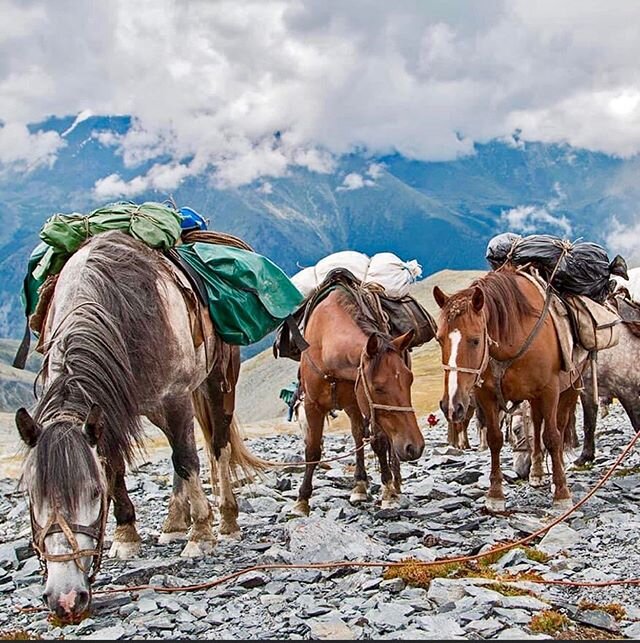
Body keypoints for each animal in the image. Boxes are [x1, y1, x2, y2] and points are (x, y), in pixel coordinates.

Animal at [16, 230, 264, 620]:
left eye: (93, 494)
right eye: (31, 495)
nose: (66, 600)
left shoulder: (176, 397)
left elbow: (187, 460)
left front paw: (201, 536)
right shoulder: (110, 413)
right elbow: (116, 468)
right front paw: (126, 537)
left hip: (216, 383)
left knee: (216, 446)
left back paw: (225, 520)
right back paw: (174, 523)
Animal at [292, 290, 424, 516]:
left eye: (410, 380)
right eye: (378, 387)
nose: (415, 447)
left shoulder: (364, 405)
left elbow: (378, 443)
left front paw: (388, 492)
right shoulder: (313, 405)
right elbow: (312, 449)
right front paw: (302, 501)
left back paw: (393, 483)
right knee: (357, 436)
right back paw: (360, 486)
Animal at [432, 268, 584, 512]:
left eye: (475, 340)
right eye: (439, 339)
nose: (451, 406)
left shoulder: (549, 390)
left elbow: (552, 437)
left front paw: (561, 493)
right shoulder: (486, 395)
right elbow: (495, 439)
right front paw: (495, 495)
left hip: (571, 387)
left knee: (558, 428)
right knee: (537, 423)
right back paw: (537, 473)